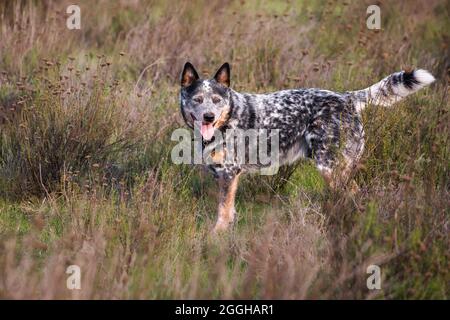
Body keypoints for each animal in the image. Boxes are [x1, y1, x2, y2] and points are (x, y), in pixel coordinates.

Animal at [180, 62, 436, 232]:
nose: (209, 117)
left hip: (330, 167)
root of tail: (347, 97)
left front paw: (216, 237)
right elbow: (229, 210)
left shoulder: (229, 174)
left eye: (216, 100)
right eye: (197, 100)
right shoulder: (226, 176)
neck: (228, 118)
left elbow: (222, 213)